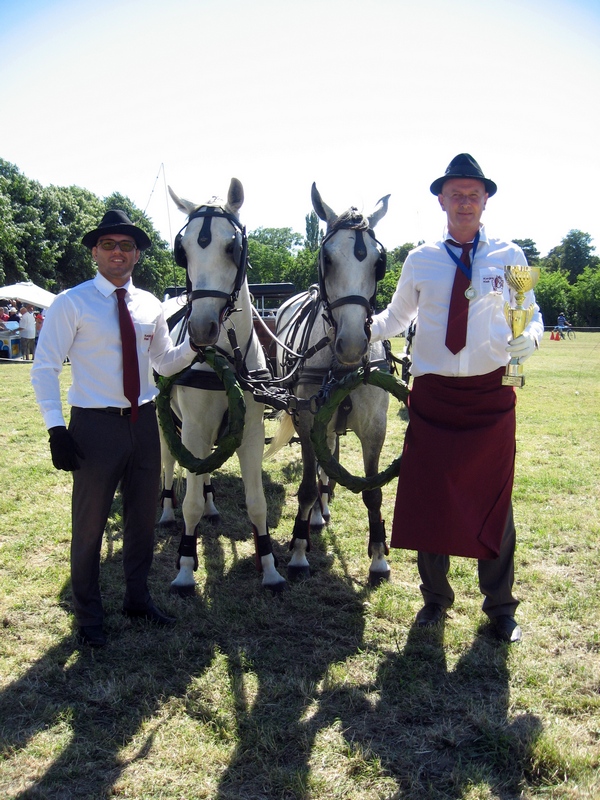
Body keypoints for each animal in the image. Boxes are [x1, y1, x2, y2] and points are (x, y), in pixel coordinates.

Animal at [162, 180, 286, 592]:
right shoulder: (194, 430)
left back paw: (212, 504)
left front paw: (270, 568)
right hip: (167, 426)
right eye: (182, 251)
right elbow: (190, 504)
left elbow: (257, 503)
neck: (227, 362)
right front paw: (185, 567)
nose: (201, 329)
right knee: (170, 464)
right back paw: (166, 511)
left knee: (203, 474)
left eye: (232, 247)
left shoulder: (249, 432)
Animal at [268, 186, 394, 588]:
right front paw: (298, 553)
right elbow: (308, 485)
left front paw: (379, 560)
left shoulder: (374, 428)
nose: (352, 344)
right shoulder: (309, 423)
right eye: (326, 257)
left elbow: (373, 491)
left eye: (379, 262)